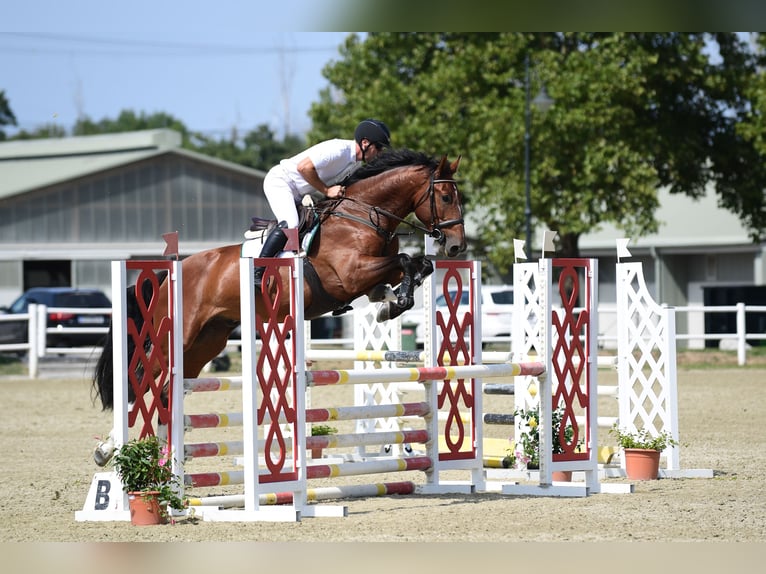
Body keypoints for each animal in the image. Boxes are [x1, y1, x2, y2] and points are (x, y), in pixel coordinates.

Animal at [94, 150, 472, 468]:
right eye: (445, 197)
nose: (456, 247)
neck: (363, 216)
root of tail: (169, 273)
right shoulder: (351, 274)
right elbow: (406, 259)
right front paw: (398, 300)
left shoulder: (370, 274)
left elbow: (417, 265)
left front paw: (392, 303)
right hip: (177, 336)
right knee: (142, 380)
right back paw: (109, 450)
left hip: (207, 343)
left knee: (165, 391)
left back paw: (162, 459)